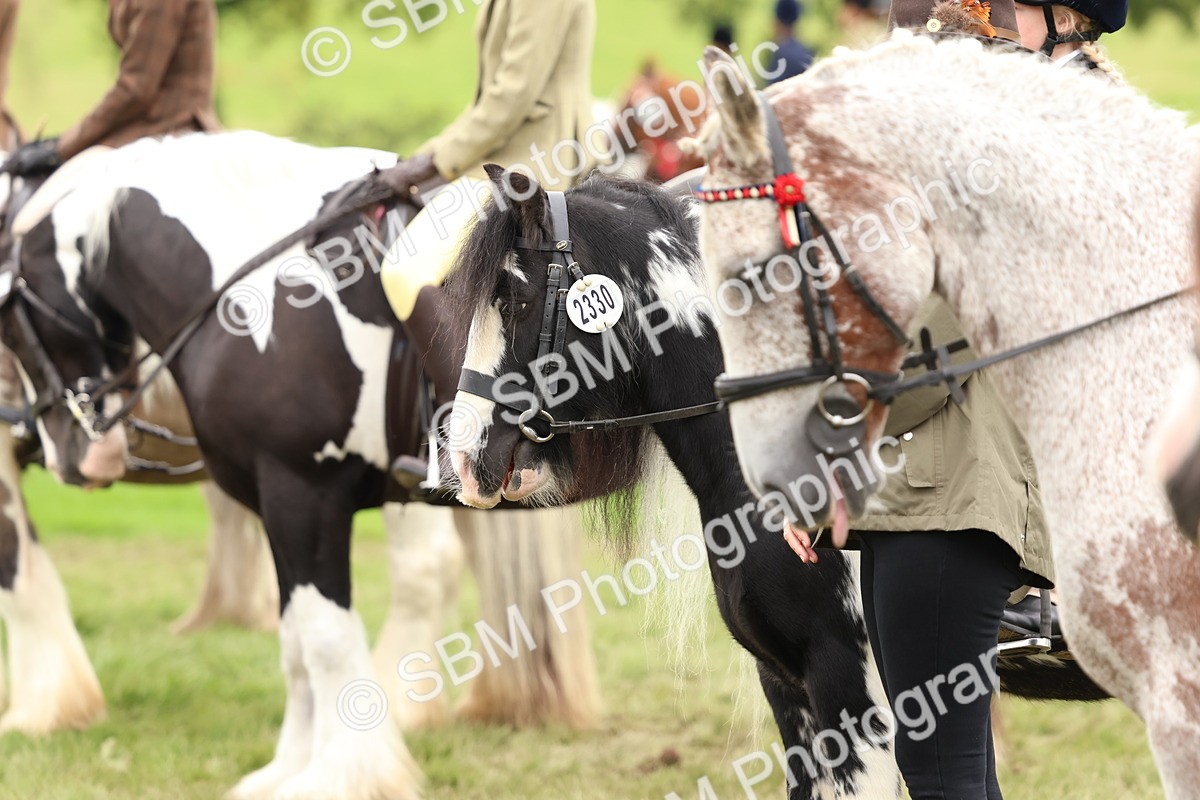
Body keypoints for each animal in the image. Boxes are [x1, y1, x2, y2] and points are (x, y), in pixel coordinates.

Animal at [0, 132, 604, 798]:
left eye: (10, 322)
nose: (74, 453)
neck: (265, 297)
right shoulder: (272, 502)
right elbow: (293, 640)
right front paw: (289, 768)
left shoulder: (305, 496)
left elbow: (324, 637)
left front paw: (345, 775)